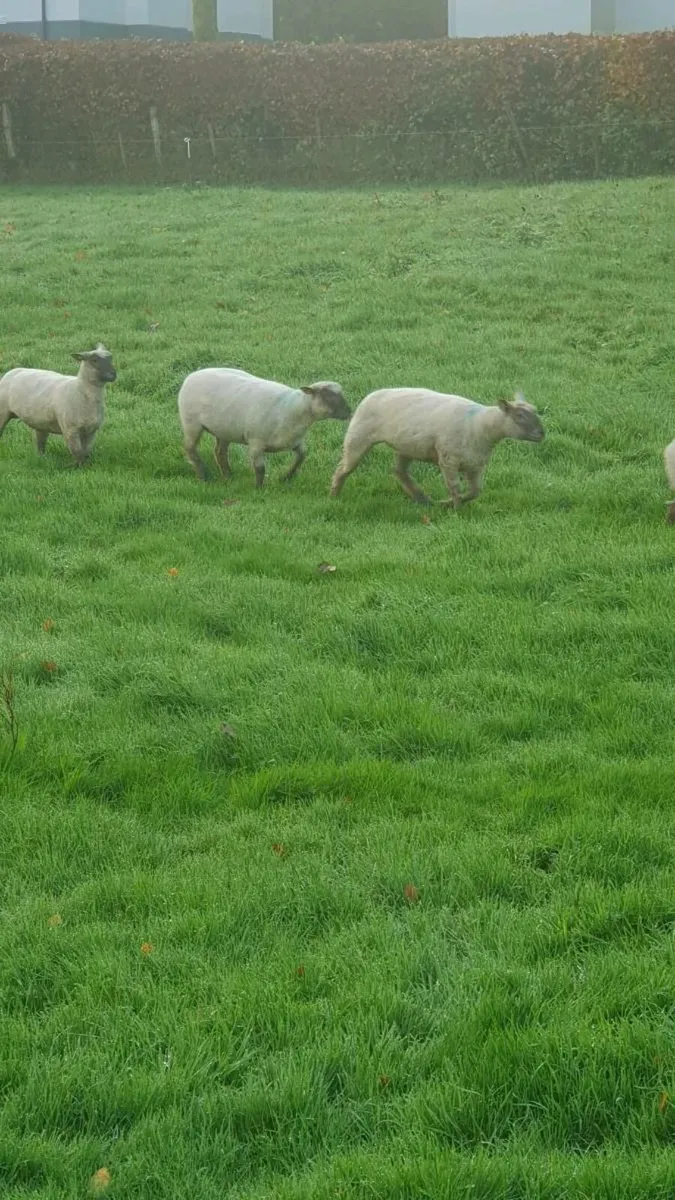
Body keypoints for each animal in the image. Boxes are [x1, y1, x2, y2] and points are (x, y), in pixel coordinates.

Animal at [178, 367, 350, 486]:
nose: (349, 412)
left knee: (220, 452)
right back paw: (204, 476)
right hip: (191, 423)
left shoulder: (294, 441)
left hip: (224, 429)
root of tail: (192, 375)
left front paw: (287, 477)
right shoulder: (256, 442)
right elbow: (260, 468)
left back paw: (228, 475)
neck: (294, 409)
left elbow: (302, 456)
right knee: (190, 448)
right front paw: (259, 488)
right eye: (328, 395)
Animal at [330, 387, 545, 508]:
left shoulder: (476, 464)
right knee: (343, 469)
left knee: (399, 471)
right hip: (359, 437)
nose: (542, 434)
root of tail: (369, 396)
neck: (480, 426)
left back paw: (422, 499)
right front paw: (456, 510)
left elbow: (475, 492)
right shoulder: (448, 460)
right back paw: (333, 495)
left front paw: (447, 504)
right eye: (519, 416)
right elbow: (455, 488)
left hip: (406, 446)